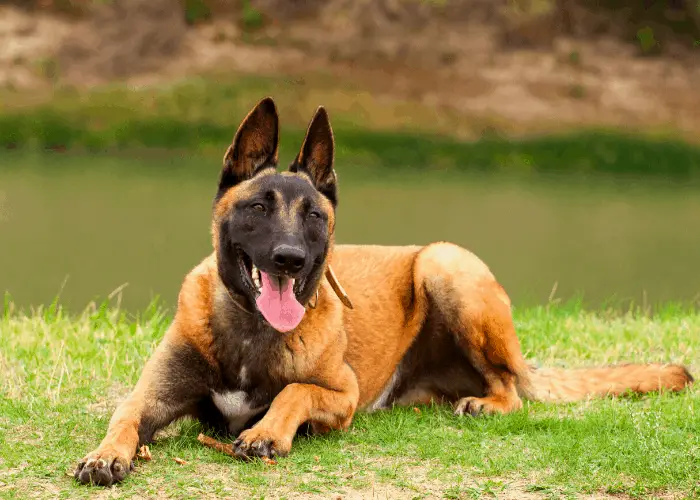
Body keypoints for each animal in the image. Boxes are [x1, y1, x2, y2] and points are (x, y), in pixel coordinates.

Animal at [74, 95, 692, 486]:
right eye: (258, 208)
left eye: (314, 216)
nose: (290, 258)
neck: (251, 332)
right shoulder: (150, 396)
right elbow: (123, 416)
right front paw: (105, 455)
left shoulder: (341, 396)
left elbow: (293, 391)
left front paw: (266, 432)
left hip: (445, 263)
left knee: (511, 387)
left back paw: (486, 403)